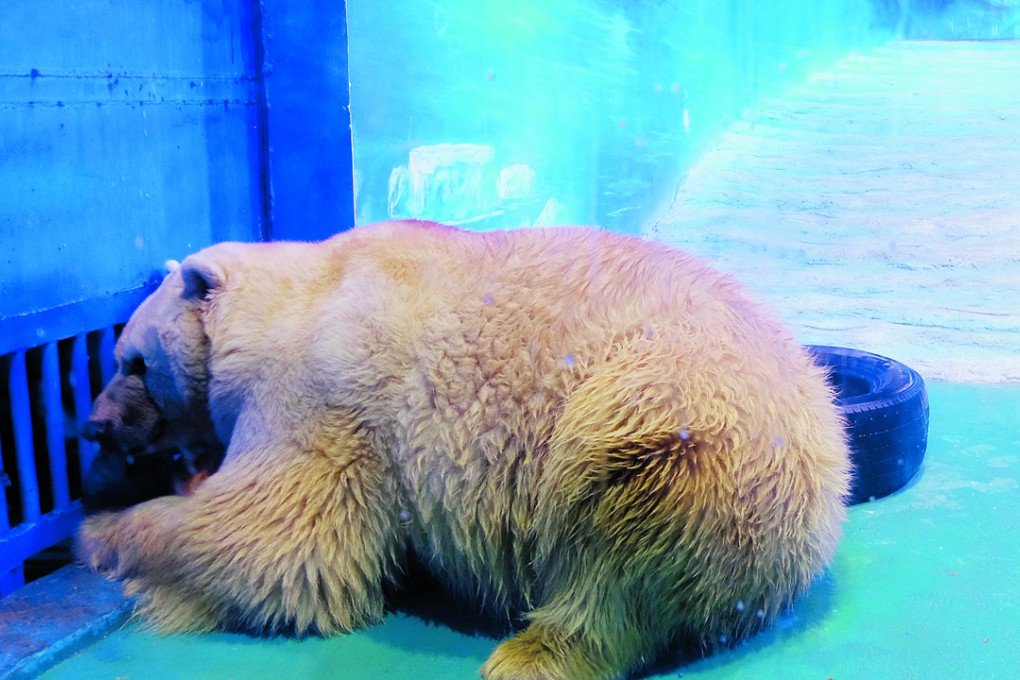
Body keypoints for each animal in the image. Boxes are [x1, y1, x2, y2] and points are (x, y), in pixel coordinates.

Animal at [77, 220, 850, 680]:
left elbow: (276, 540)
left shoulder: (323, 392)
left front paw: (106, 534)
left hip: (671, 414)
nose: (94, 428)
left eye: (131, 361)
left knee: (619, 532)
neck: (295, 301)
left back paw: (532, 654)